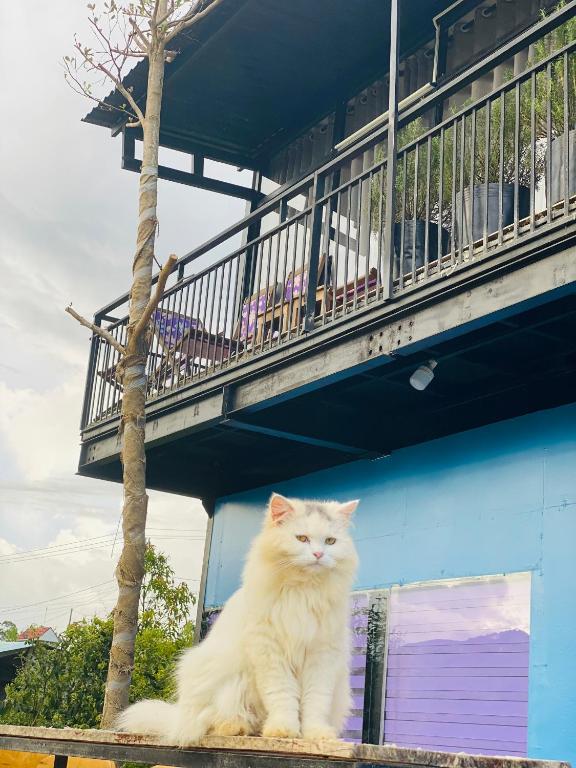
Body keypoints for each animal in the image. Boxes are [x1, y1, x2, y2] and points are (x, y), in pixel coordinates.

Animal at [117, 492, 358, 744]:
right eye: (302, 538)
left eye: (330, 541)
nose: (319, 554)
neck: (303, 592)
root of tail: (179, 717)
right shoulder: (270, 653)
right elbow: (282, 696)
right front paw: (282, 730)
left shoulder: (322, 656)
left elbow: (315, 702)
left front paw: (316, 734)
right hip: (227, 682)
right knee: (211, 722)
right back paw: (236, 728)